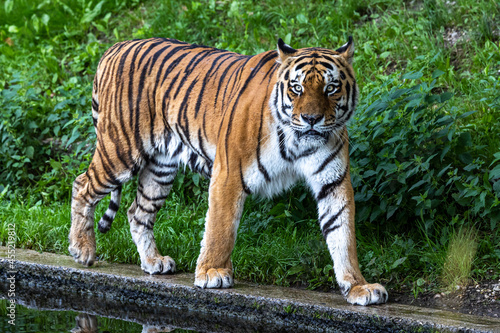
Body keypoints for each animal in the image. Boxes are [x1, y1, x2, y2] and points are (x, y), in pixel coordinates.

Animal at [67, 35, 386, 304]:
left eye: (331, 88)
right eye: (297, 88)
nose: (311, 119)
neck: (298, 141)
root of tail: (114, 47)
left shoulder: (334, 182)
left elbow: (343, 235)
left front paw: (358, 286)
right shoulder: (229, 172)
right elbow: (220, 228)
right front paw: (212, 272)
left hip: (160, 168)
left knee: (137, 212)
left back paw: (153, 262)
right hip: (121, 151)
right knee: (82, 184)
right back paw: (82, 249)